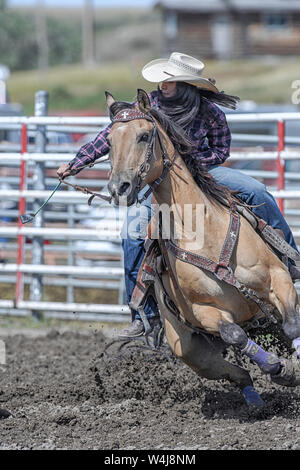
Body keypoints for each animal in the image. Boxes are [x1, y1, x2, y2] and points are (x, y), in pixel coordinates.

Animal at [103, 89, 300, 408]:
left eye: (144, 136)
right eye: (108, 141)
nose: (118, 188)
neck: (204, 232)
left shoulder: (279, 277)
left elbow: (292, 326)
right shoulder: (204, 311)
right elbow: (235, 334)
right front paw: (280, 369)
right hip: (189, 349)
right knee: (239, 372)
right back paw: (255, 400)